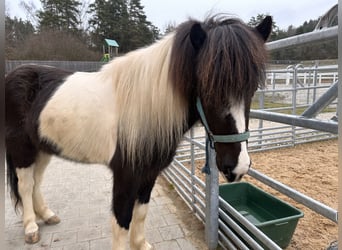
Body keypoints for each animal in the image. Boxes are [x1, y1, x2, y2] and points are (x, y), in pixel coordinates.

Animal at [5, 14, 272, 249]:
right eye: (208, 88)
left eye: (251, 88)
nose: (237, 166)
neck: (144, 105)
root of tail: (12, 75)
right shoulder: (126, 176)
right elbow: (121, 221)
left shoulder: (149, 174)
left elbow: (141, 213)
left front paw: (141, 244)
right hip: (22, 149)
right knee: (25, 184)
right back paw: (31, 228)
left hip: (42, 149)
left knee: (36, 181)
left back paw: (47, 215)